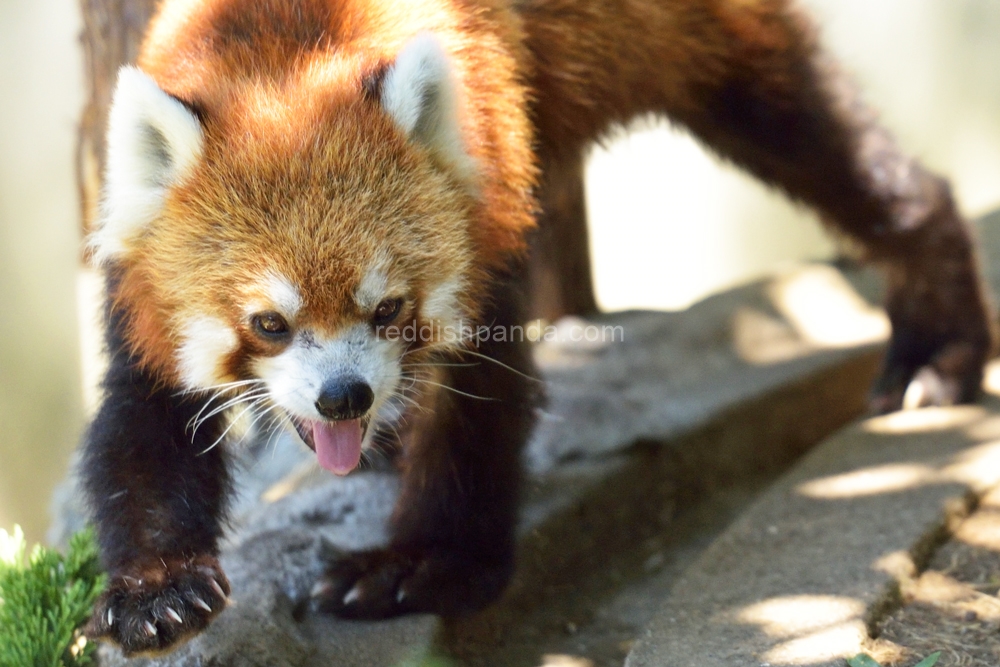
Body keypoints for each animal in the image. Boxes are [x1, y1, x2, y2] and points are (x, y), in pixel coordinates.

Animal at [84, 0, 992, 652]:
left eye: (389, 309)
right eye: (269, 323)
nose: (345, 397)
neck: (283, 48)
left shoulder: (492, 180)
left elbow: (477, 401)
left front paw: (422, 564)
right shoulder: (140, 282)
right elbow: (142, 423)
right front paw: (158, 589)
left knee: (827, 147)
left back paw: (939, 338)